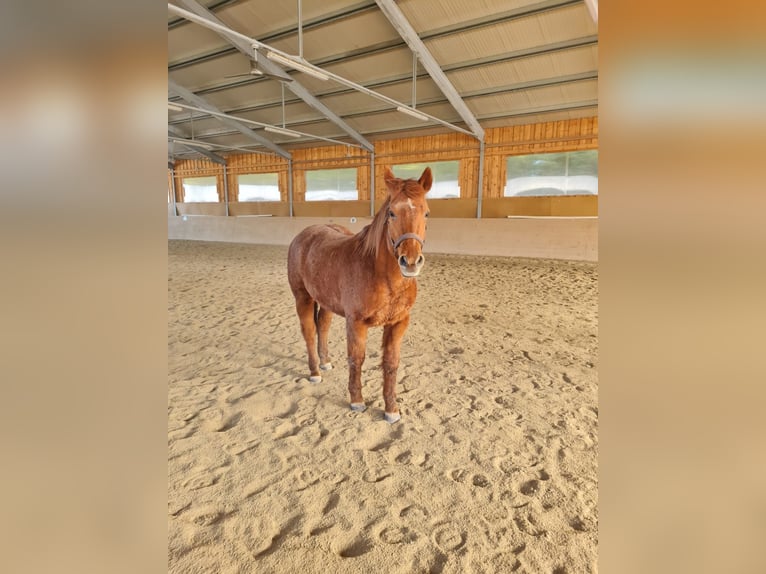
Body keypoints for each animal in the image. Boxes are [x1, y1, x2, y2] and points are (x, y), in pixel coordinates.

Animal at [288, 166, 432, 424]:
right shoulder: (355, 323)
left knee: (322, 327)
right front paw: (357, 401)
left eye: (426, 213)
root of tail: (304, 235)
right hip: (302, 297)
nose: (410, 261)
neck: (382, 275)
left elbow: (391, 363)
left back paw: (325, 363)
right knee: (309, 332)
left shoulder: (399, 323)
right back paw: (315, 372)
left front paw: (391, 409)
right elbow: (357, 359)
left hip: (325, 302)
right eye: (392, 213)